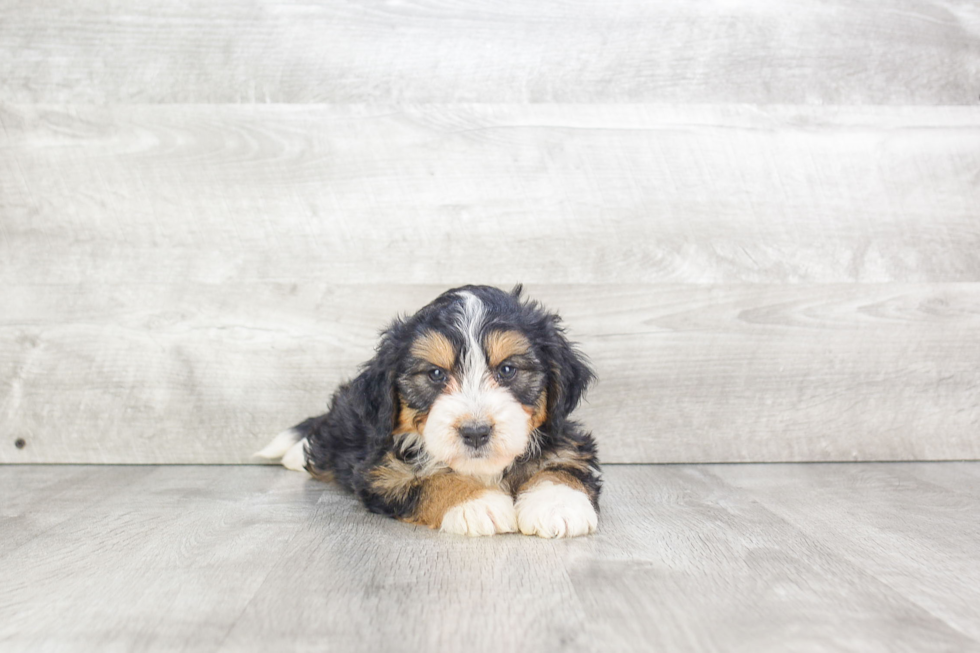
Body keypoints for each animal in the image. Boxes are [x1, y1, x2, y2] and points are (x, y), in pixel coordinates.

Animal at [256, 284, 600, 536]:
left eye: (507, 369)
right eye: (435, 374)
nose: (475, 433)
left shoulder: (564, 434)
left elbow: (562, 464)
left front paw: (558, 505)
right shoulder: (382, 471)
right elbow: (429, 480)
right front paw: (478, 504)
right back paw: (296, 455)